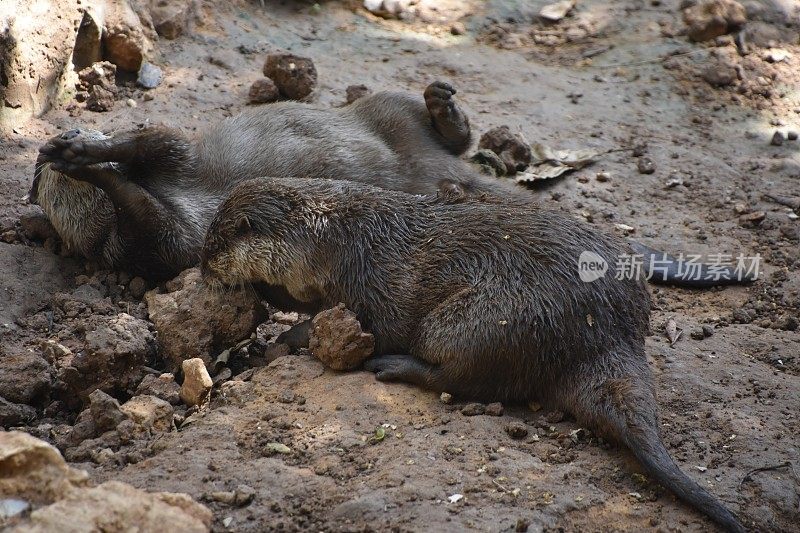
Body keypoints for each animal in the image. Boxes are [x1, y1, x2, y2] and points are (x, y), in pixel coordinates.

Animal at [203, 178, 748, 532]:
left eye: (215, 245)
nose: (204, 270)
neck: (333, 239)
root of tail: (608, 336)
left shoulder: (368, 284)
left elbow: (361, 325)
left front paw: (282, 341)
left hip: (487, 322)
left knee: (465, 376)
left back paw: (393, 368)